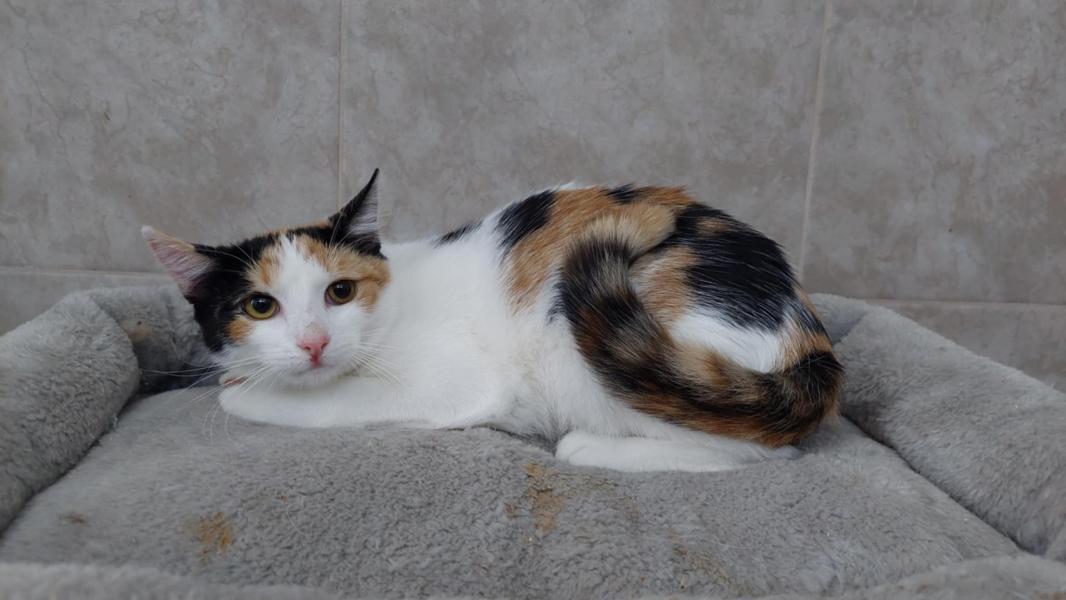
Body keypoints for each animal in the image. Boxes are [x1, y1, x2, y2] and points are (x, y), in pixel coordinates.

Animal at [143, 170, 843, 472]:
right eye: (260, 306)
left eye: (339, 292)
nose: (313, 342)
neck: (395, 304)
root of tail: (807, 335)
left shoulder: (452, 381)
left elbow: (326, 402)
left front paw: (243, 393)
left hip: (594, 353)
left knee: (764, 452)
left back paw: (589, 446)